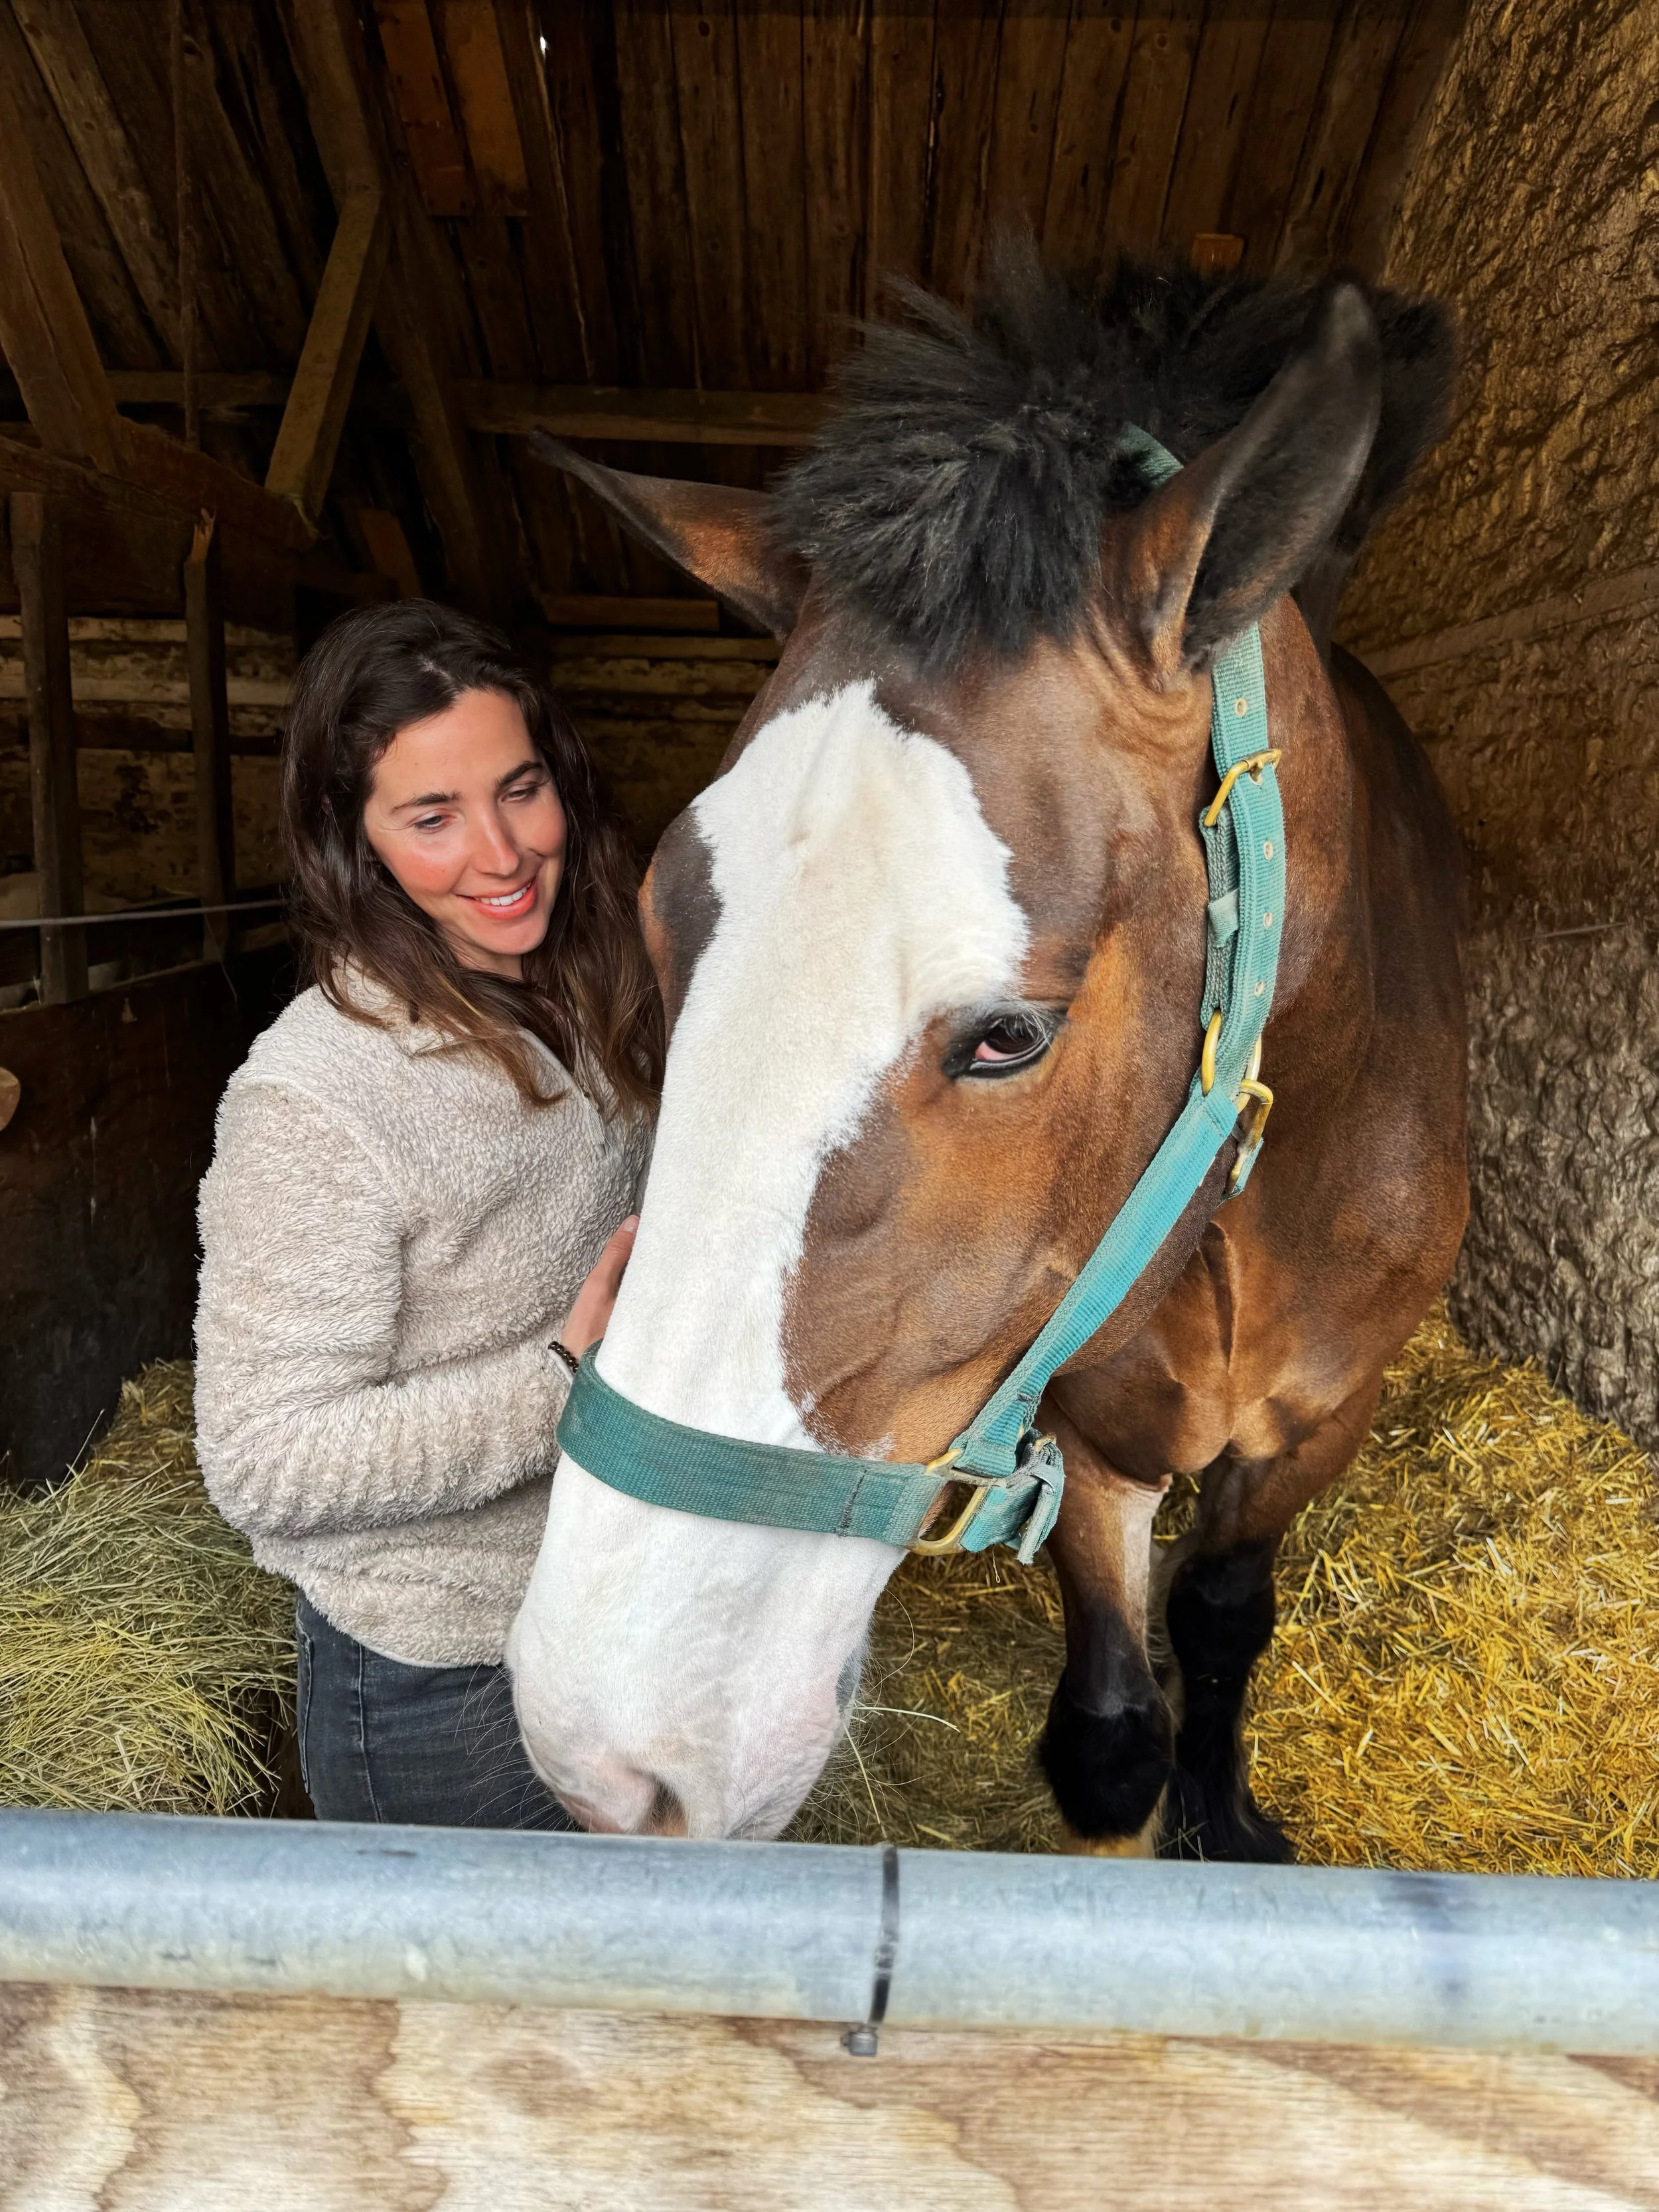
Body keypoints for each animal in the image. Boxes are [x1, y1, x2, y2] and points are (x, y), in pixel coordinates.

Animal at [506, 252, 1467, 1858]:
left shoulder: (1326, 1413)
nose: (608, 1754)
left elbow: (1221, 1611)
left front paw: (1225, 1812)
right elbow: (1114, 1721)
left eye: (1011, 1034)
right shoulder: (1076, 1417)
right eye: (656, 931)